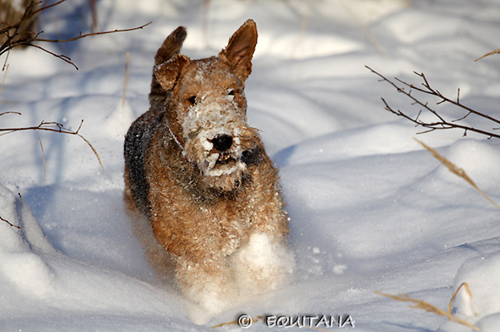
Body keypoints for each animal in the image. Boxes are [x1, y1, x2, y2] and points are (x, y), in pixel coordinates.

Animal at [123, 19, 292, 322]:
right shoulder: (197, 246)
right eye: (192, 99)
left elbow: (262, 262)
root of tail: (156, 104)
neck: (221, 188)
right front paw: (225, 309)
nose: (222, 139)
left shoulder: (266, 215)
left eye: (232, 91)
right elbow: (213, 283)